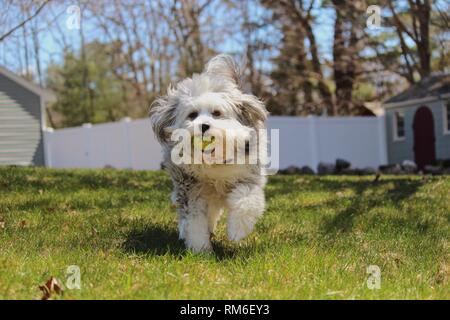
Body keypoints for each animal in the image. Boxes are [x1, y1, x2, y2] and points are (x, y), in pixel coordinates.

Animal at [149, 55, 268, 255]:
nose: (203, 126)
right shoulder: (190, 187)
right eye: (192, 115)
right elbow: (194, 219)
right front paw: (200, 249)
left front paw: (236, 231)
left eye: (216, 113)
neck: (214, 160)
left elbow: (246, 200)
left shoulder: (249, 176)